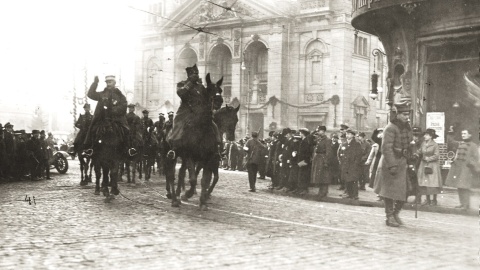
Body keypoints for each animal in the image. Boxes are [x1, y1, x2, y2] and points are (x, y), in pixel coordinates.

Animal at [165, 74, 223, 211]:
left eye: (220, 89)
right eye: (209, 89)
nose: (219, 101)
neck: (202, 130)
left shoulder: (208, 158)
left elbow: (204, 180)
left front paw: (202, 202)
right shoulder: (190, 156)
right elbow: (192, 179)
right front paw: (188, 194)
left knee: (181, 174)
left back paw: (178, 197)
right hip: (173, 155)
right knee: (171, 175)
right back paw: (174, 199)